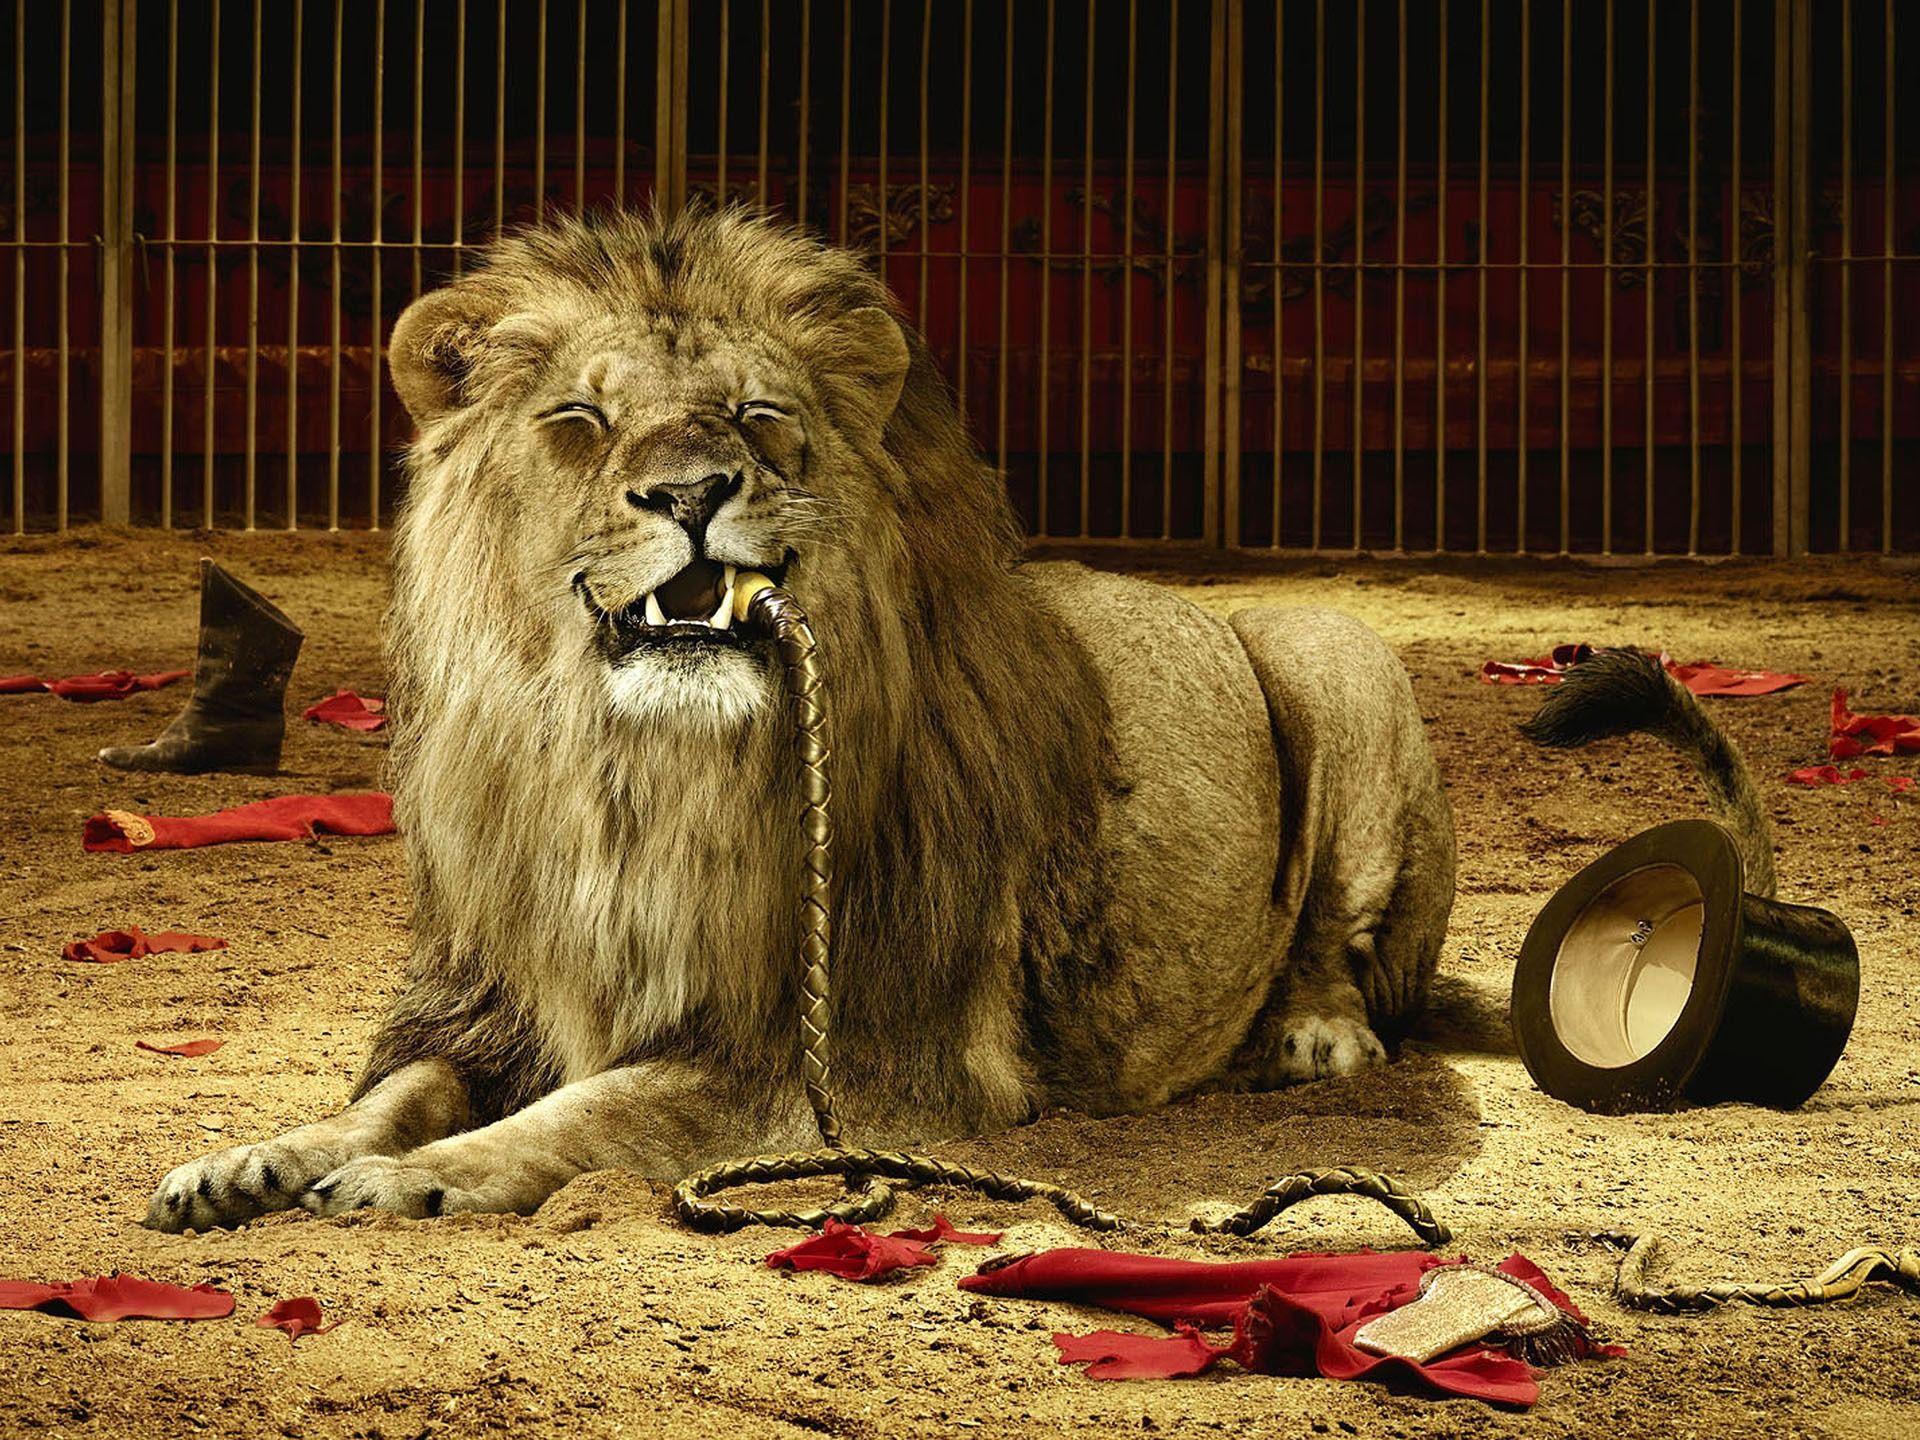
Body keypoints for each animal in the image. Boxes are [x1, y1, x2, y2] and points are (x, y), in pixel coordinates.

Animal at [146, 209, 1454, 1231]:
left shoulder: (863, 1057)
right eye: (579, 419)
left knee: (1339, 934)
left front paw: (418, 1177)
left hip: (1332, 650)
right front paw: (255, 1159)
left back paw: (1316, 1039)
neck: (634, 776)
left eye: (757, 412)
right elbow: (393, 1093)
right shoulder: (490, 1000)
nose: (689, 492)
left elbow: (595, 1111)